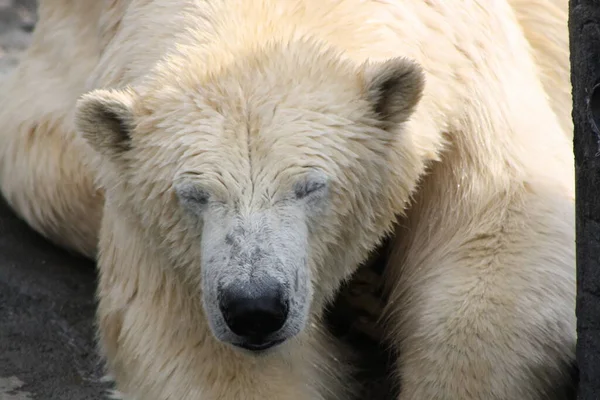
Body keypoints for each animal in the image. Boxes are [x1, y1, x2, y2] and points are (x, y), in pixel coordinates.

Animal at [0, 0, 576, 400]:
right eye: (194, 194)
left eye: (310, 185)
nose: (255, 308)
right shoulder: (155, 225)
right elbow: (199, 351)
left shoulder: (468, 65)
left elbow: (498, 242)